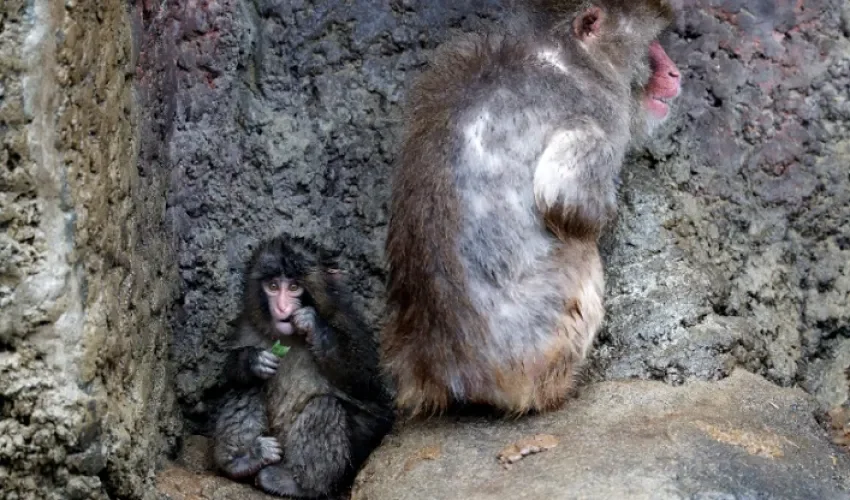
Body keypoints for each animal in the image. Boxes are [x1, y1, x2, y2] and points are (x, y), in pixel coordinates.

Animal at [212, 235, 395, 498]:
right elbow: (228, 376)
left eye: (294, 287)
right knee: (247, 386)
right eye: (273, 286)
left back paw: (297, 484)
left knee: (325, 405)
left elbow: (367, 384)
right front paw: (253, 360)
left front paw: (314, 326)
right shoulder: (246, 326)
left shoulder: (349, 324)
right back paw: (244, 460)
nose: (281, 308)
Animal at [382, 0, 682, 417]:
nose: (674, 72)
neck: (569, 54)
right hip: (535, 348)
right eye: (652, 45)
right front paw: (606, 214)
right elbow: (565, 199)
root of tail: (444, 369)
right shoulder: (599, 111)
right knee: (580, 256)